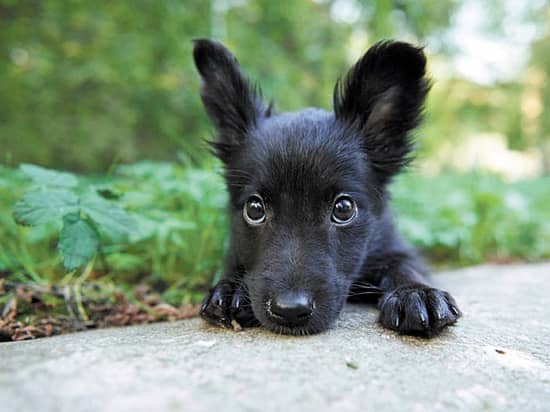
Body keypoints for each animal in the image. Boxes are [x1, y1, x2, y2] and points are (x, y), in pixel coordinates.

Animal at [193, 37, 462, 334]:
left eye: (344, 209)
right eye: (254, 209)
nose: (290, 310)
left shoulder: (392, 245)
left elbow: (403, 265)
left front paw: (415, 292)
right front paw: (230, 290)